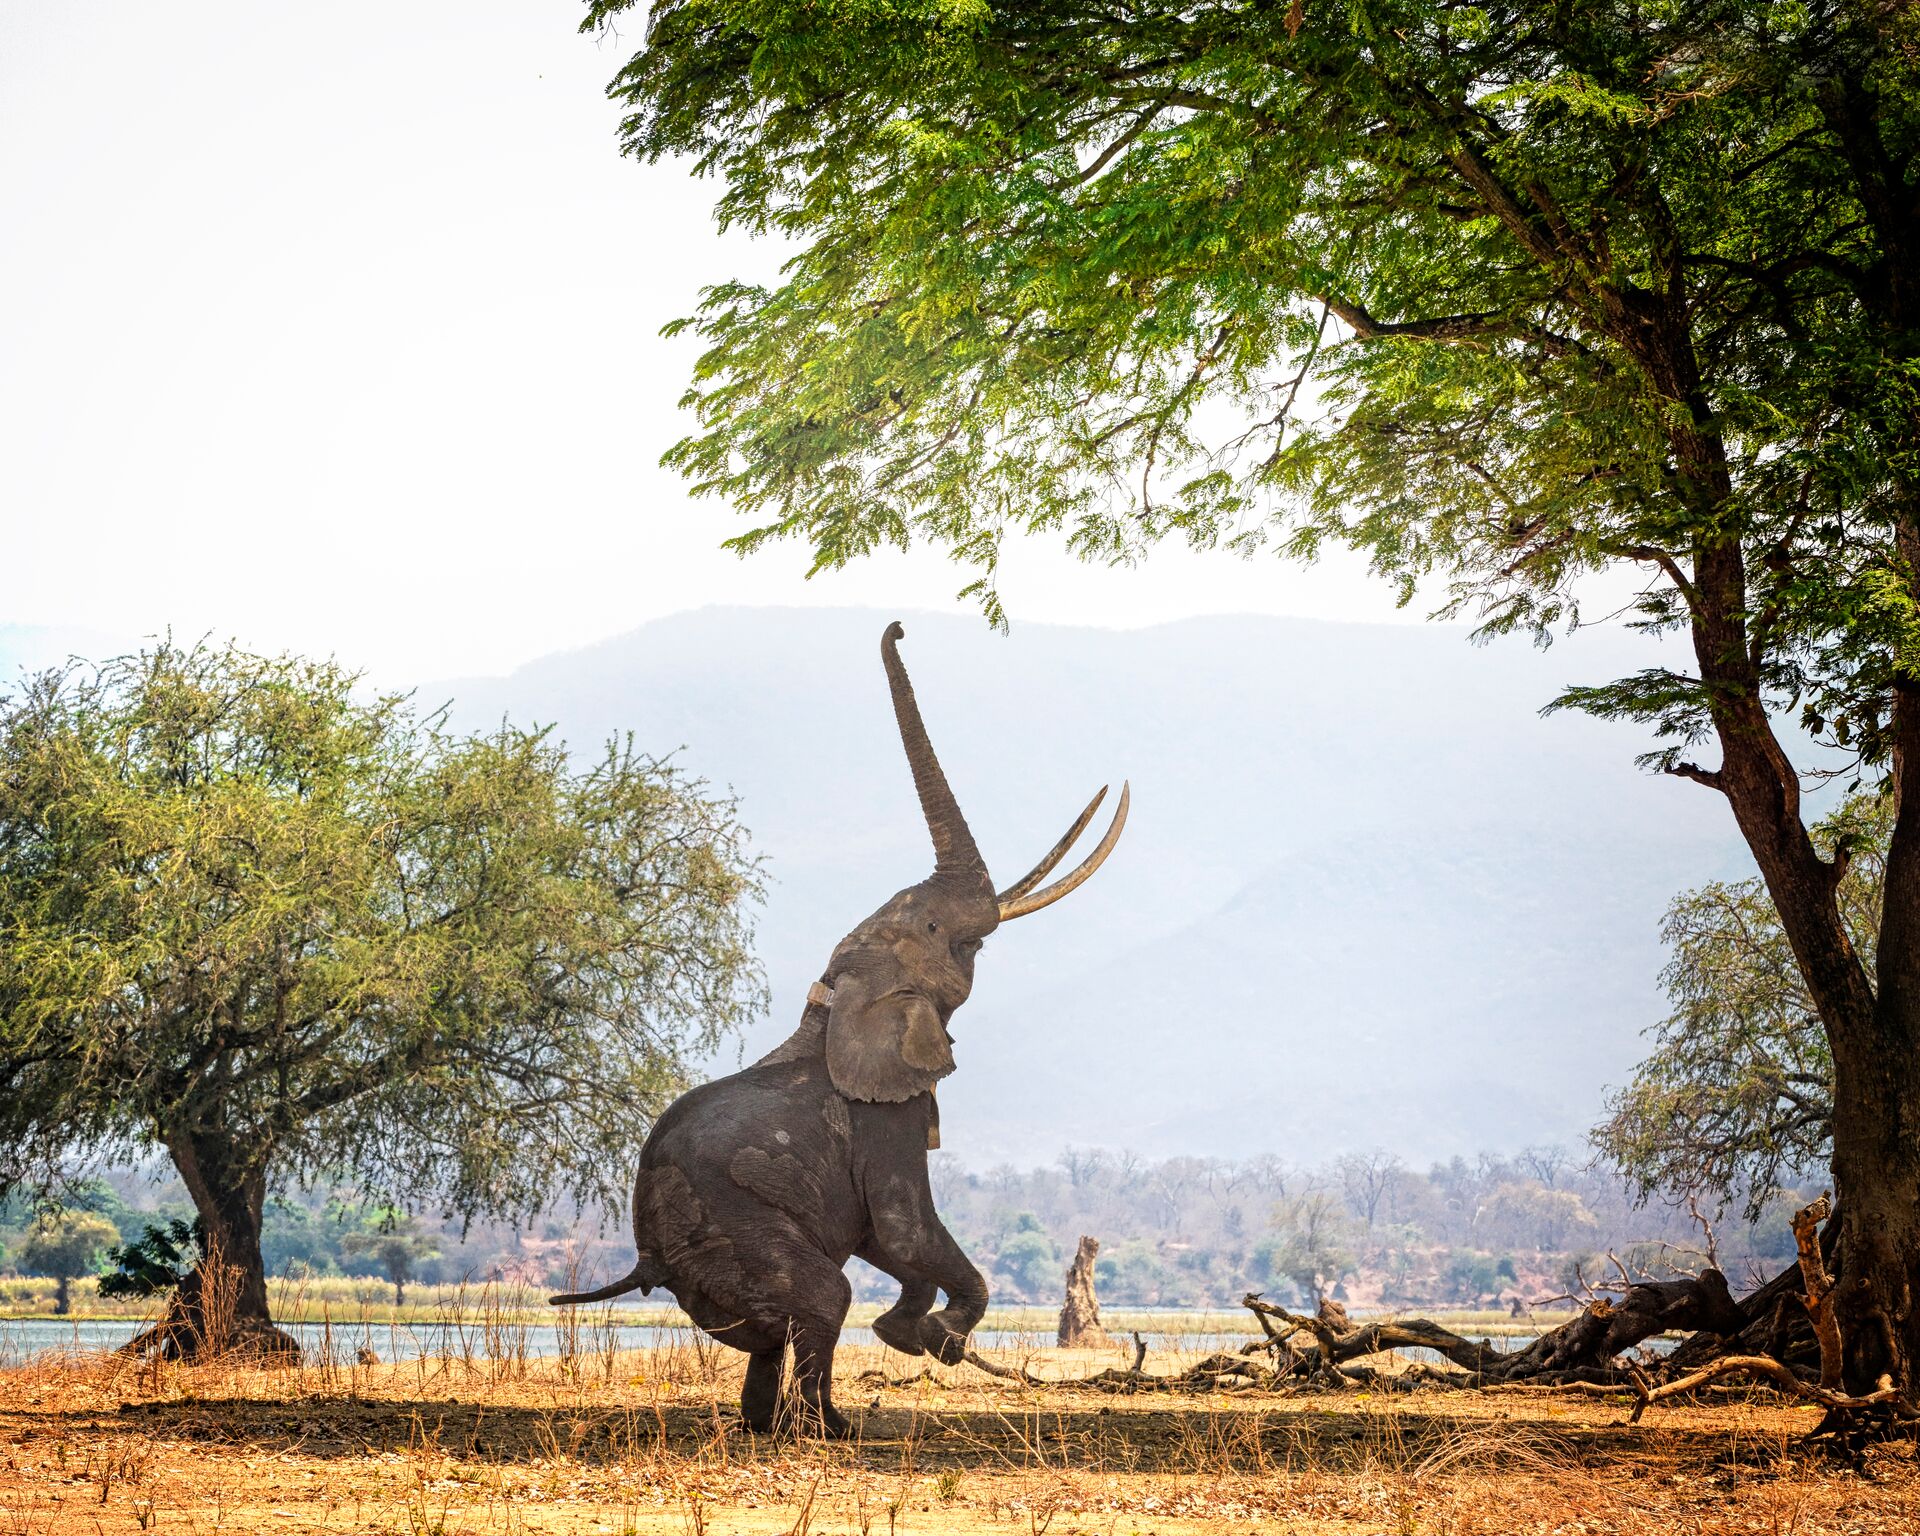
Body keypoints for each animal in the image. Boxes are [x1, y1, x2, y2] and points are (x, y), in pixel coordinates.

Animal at [551, 621, 1127, 1436]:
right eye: (941, 931)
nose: (898, 626)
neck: (838, 996)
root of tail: (648, 1261)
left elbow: (884, 1237)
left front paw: (914, 1330)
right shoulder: (886, 1115)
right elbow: (903, 1227)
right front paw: (927, 1338)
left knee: (776, 1331)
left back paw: (771, 1426)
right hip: (739, 1234)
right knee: (824, 1298)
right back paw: (828, 1428)